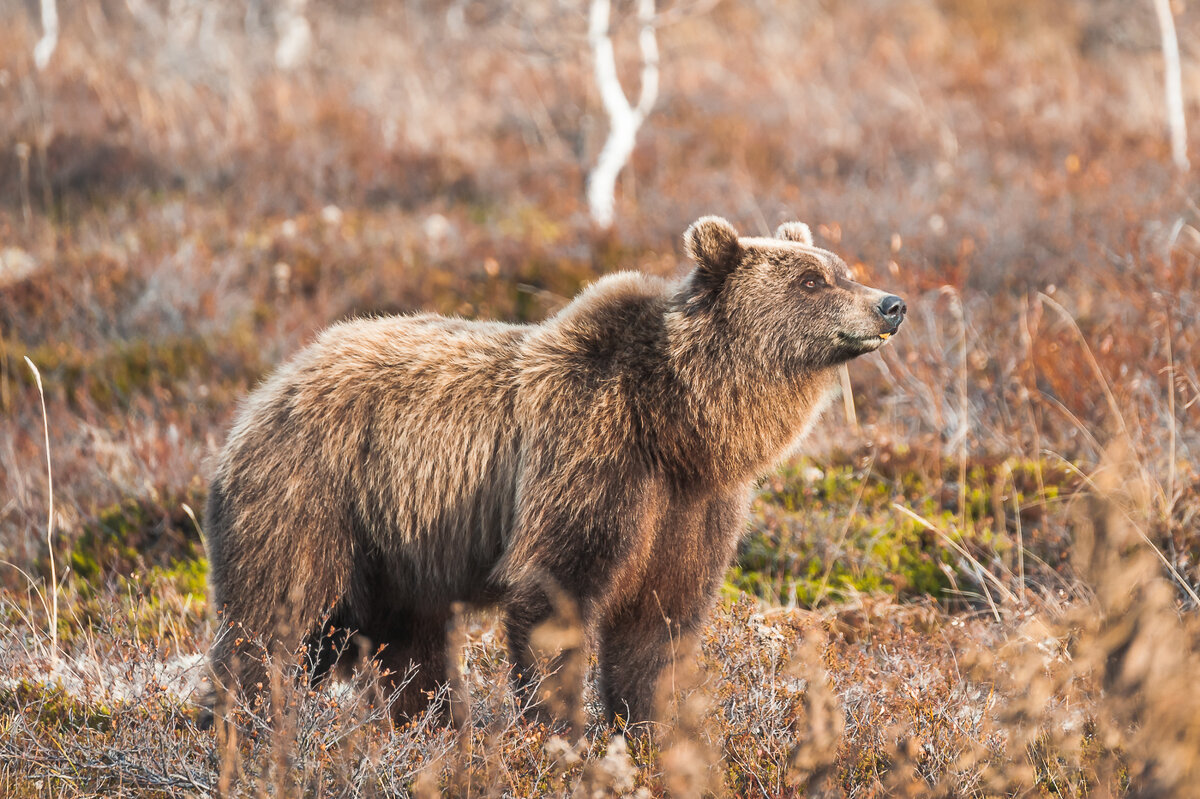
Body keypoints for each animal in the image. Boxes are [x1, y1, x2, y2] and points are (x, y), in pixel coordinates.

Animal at [201, 214, 902, 724]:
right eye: (810, 281)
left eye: (839, 268)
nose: (890, 304)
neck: (677, 424)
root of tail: (265, 391)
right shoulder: (591, 458)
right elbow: (554, 595)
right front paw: (559, 734)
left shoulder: (692, 509)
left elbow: (658, 630)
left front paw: (652, 732)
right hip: (313, 498)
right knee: (273, 622)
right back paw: (243, 726)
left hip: (399, 551)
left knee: (413, 649)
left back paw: (430, 731)